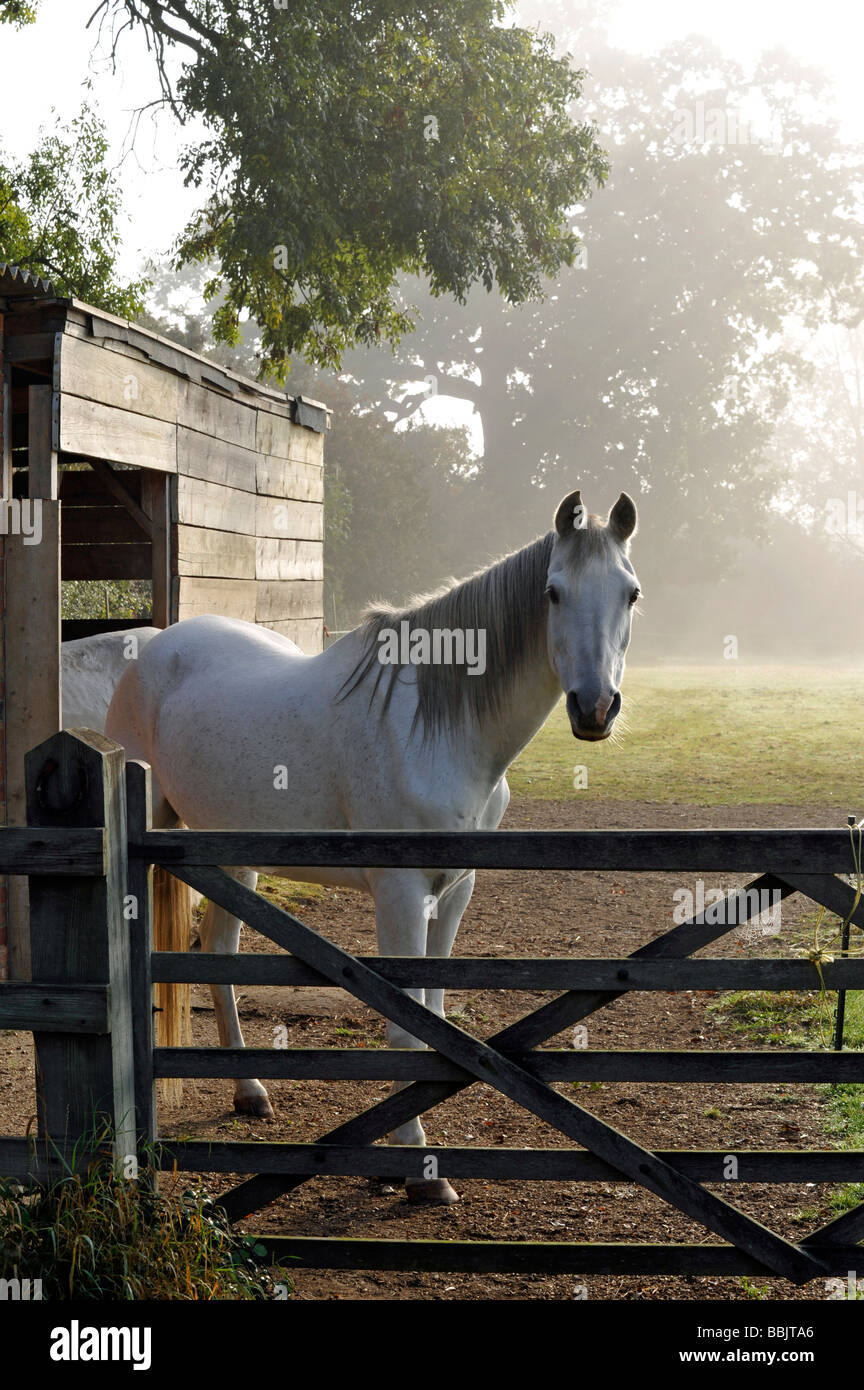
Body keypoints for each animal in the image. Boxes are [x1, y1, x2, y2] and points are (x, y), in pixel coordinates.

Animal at [103, 492, 644, 1206]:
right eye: (553, 592)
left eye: (631, 593)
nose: (595, 708)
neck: (436, 731)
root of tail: (153, 648)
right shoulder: (401, 896)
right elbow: (407, 1027)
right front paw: (417, 1168)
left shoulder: (455, 891)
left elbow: (434, 1016)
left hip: (233, 856)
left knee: (219, 954)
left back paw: (250, 1092)